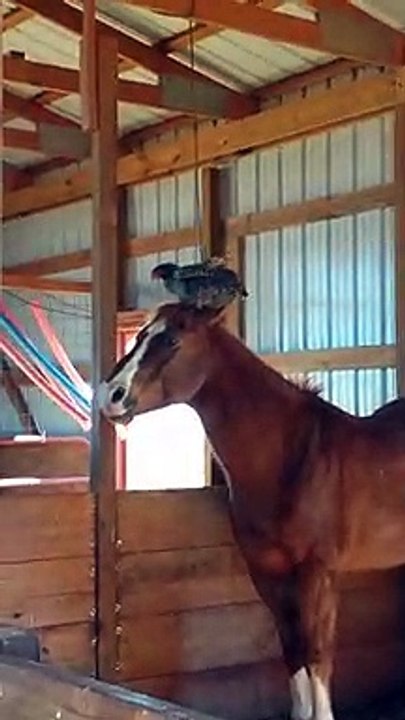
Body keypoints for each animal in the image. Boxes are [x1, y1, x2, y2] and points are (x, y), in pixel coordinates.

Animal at [96, 302, 405, 720]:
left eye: (173, 339)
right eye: (141, 335)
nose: (108, 395)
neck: (291, 457)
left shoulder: (317, 572)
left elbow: (317, 652)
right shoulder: (267, 572)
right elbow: (293, 650)